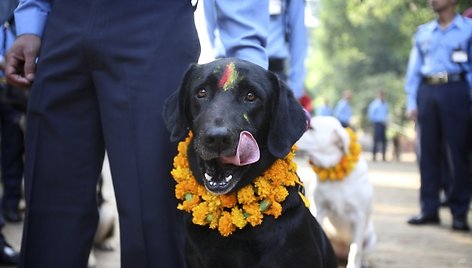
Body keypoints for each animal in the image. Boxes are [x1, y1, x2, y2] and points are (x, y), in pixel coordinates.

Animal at [298, 116, 376, 268]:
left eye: (311, 128)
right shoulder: (320, 210)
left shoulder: (359, 216)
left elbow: (355, 249)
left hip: (371, 238)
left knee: (361, 252)